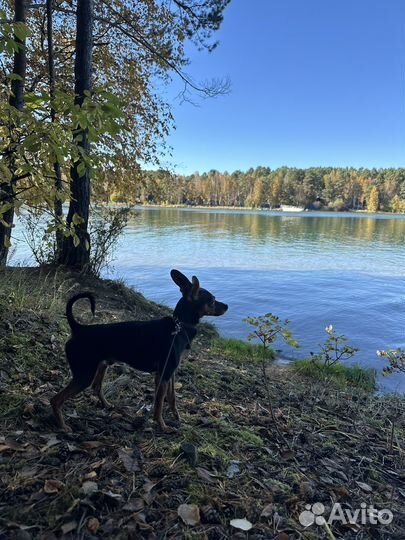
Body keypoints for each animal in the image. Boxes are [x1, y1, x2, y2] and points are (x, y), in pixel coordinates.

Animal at [50, 272, 227, 432]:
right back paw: (63, 426)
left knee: (96, 386)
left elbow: (172, 398)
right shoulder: (162, 376)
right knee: (56, 400)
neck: (179, 325)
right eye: (212, 300)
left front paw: (176, 417)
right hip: (84, 375)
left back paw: (107, 405)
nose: (227, 306)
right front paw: (162, 426)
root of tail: (78, 328)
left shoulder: (170, 373)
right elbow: (159, 404)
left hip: (102, 365)